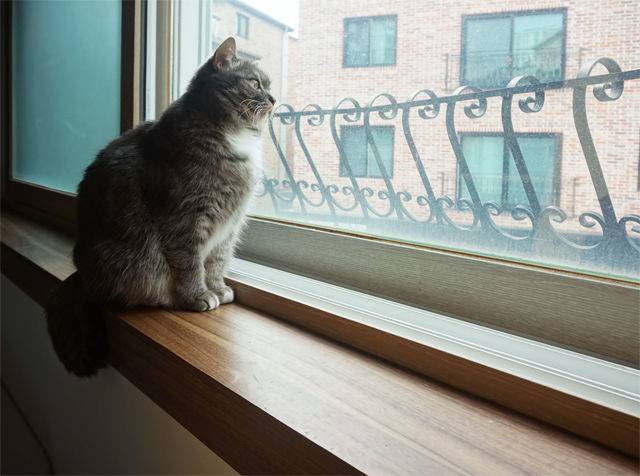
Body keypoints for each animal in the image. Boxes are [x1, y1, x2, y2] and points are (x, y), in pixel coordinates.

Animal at [46, 37, 275, 377]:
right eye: (255, 83)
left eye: (269, 85)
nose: (274, 99)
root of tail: (80, 276)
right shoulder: (185, 219)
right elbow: (191, 264)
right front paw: (199, 296)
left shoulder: (229, 227)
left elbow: (217, 262)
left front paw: (218, 288)